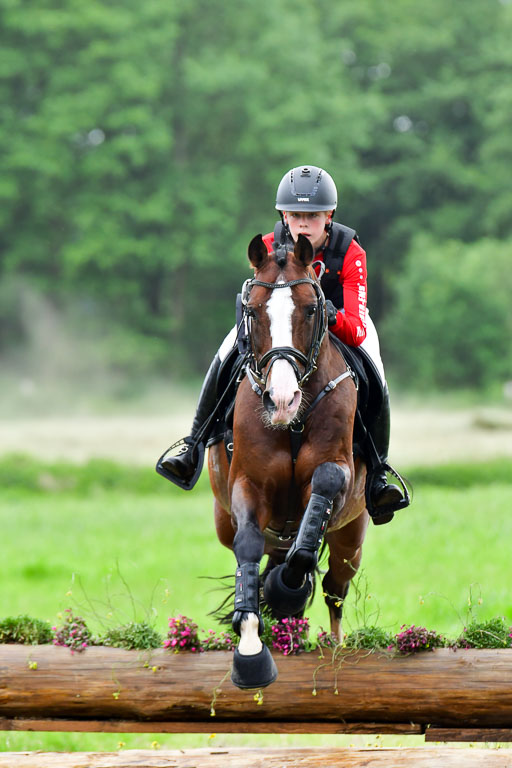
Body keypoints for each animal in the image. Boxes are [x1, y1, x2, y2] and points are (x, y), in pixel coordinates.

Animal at [208, 233, 368, 690]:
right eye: (252, 311)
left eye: (313, 309)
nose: (281, 400)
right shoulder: (248, 484)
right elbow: (247, 546)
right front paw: (250, 653)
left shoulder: (341, 472)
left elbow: (323, 494)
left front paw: (286, 591)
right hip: (225, 518)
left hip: (352, 536)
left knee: (335, 586)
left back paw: (333, 646)